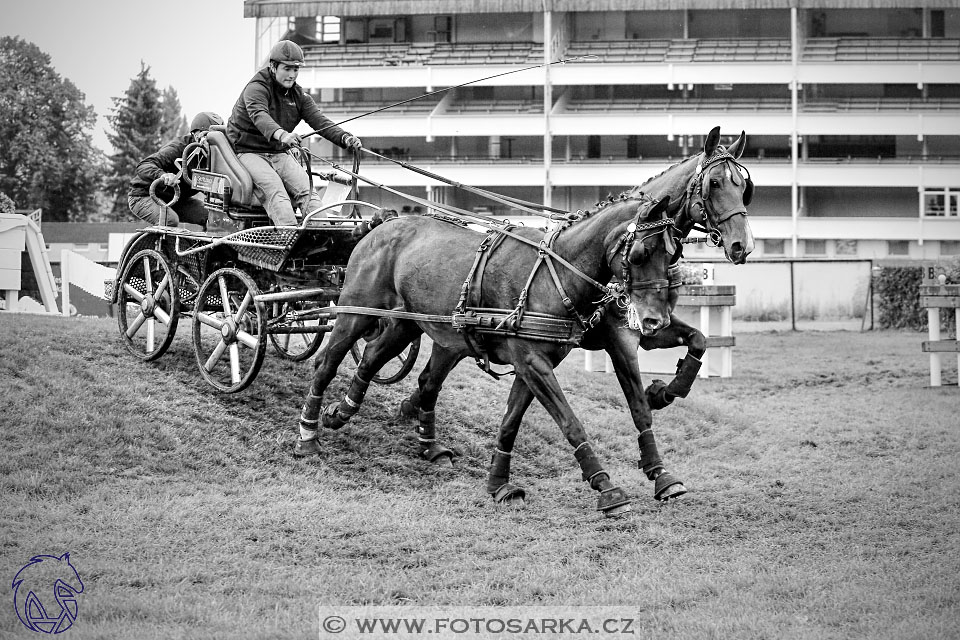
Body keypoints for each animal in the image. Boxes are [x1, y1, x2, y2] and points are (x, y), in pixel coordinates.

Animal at [296, 195, 680, 516]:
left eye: (673, 253)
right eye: (641, 252)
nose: (655, 320)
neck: (553, 275)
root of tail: (384, 223)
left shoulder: (532, 365)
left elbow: (510, 423)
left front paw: (499, 483)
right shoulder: (533, 362)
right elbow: (570, 422)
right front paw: (605, 485)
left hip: (409, 323)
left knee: (378, 360)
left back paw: (355, 416)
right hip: (356, 310)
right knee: (326, 364)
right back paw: (308, 436)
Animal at [394, 125, 752, 502]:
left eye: (743, 187)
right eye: (715, 183)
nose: (742, 245)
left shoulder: (647, 330)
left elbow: (697, 340)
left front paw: (664, 399)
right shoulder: (618, 339)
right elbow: (635, 404)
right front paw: (653, 461)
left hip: (453, 339)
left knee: (429, 379)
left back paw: (416, 418)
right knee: (425, 375)